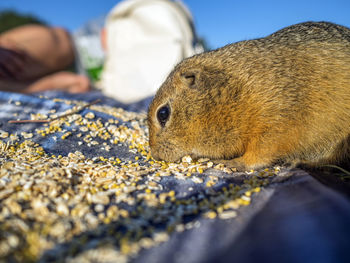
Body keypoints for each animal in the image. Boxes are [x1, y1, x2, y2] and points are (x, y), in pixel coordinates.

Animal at [147, 21, 350, 172]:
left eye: (163, 114)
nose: (155, 154)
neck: (237, 90)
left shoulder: (276, 124)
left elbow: (260, 154)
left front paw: (235, 162)